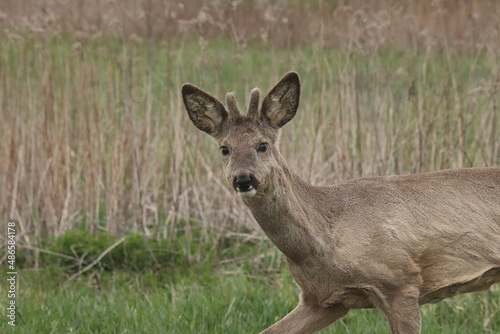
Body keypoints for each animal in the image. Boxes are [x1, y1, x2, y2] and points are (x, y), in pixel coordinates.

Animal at [183, 72, 500, 334]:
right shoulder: (322, 299)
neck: (325, 236)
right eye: (224, 149)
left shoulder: (401, 282)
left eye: (263, 145)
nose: (243, 179)